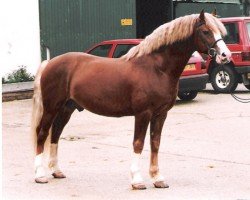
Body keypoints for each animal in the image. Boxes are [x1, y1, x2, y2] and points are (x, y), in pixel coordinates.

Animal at [31, 10, 230, 189]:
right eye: (206, 31)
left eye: (220, 31)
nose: (225, 56)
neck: (156, 68)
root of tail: (49, 63)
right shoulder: (143, 113)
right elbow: (138, 143)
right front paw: (137, 180)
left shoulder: (161, 114)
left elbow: (155, 143)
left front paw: (158, 178)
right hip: (51, 107)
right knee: (42, 134)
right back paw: (40, 175)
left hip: (67, 108)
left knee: (55, 134)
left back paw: (56, 171)